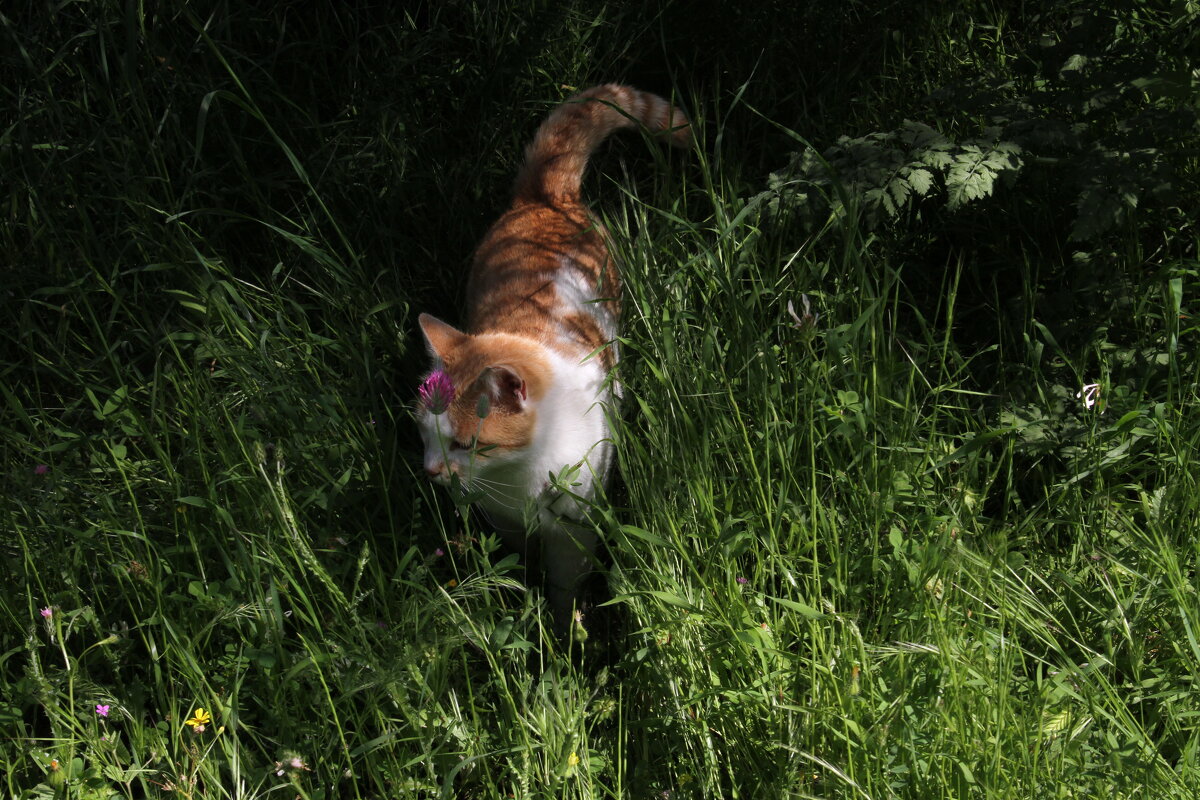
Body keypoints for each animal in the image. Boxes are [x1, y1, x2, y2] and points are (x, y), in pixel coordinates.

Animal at [415, 84, 691, 633]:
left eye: (463, 444)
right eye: (424, 432)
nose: (432, 472)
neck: (518, 478)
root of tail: (545, 197)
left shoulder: (575, 532)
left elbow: (565, 588)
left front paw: (564, 633)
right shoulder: (503, 521)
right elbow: (516, 563)